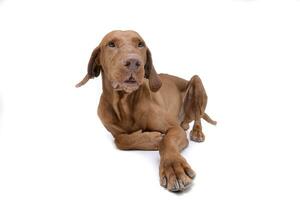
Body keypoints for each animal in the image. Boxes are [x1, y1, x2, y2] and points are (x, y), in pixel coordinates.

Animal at [75, 30, 216, 192]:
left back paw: (197, 132)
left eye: (140, 44)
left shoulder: (174, 128)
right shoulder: (114, 131)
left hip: (196, 82)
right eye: (111, 44)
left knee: (198, 116)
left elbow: (167, 140)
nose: (134, 62)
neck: (125, 103)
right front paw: (153, 138)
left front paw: (174, 167)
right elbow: (120, 140)